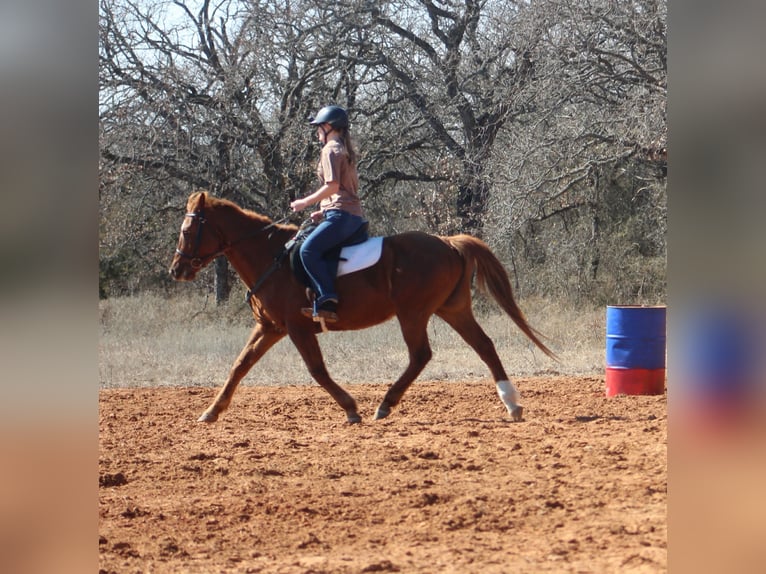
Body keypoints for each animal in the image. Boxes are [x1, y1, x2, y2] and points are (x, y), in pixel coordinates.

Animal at [169, 191, 556, 424]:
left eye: (188, 230)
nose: (176, 270)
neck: (272, 256)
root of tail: (448, 242)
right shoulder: (271, 328)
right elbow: (239, 366)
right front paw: (211, 411)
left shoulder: (296, 327)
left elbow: (317, 370)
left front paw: (351, 408)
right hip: (453, 310)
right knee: (484, 346)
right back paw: (512, 403)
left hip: (414, 314)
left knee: (421, 355)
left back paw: (385, 404)